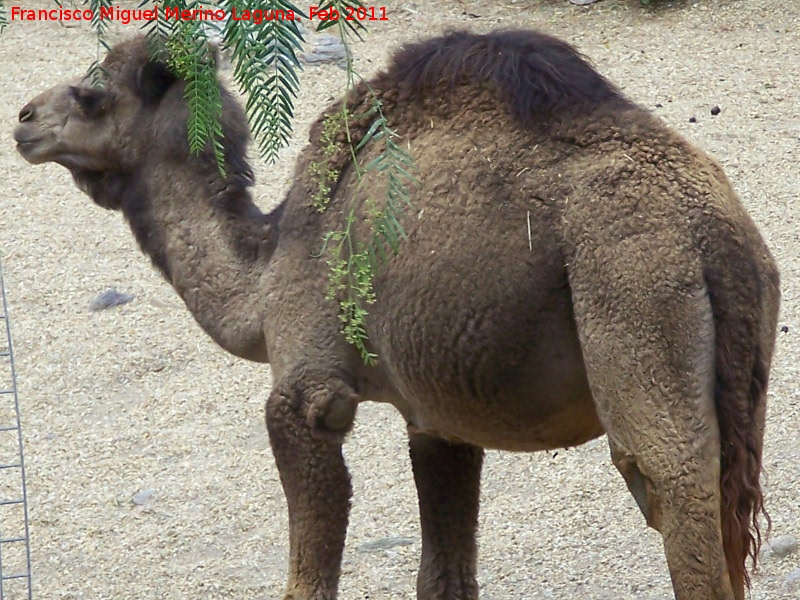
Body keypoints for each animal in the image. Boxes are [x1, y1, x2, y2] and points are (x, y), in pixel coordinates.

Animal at [14, 30, 780, 600]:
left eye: (92, 94)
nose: (23, 120)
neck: (267, 270)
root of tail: (714, 234)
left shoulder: (309, 391)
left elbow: (310, 571)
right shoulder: (438, 418)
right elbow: (444, 574)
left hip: (633, 289)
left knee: (668, 483)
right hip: (744, 346)